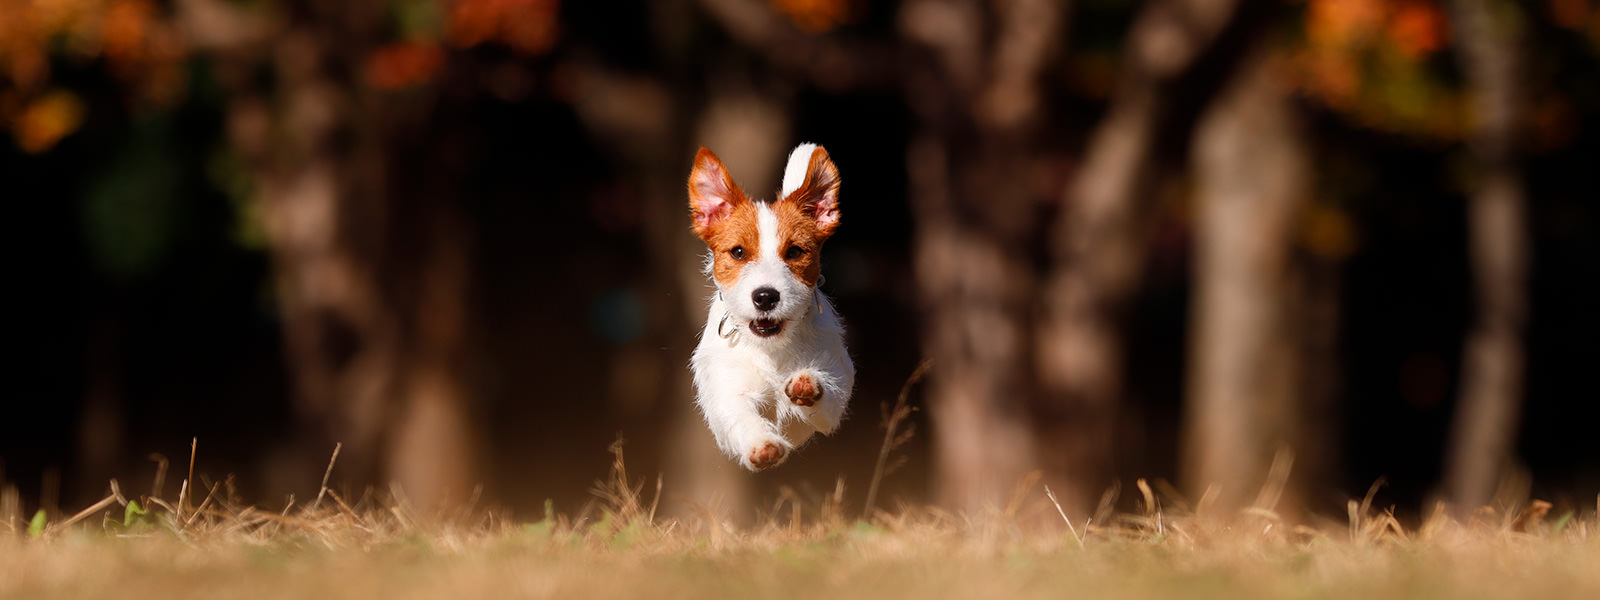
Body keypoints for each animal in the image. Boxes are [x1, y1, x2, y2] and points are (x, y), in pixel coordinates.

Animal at [688, 143, 864, 473]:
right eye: (738, 252)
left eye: (794, 252)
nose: (766, 297)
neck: (771, 348)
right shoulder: (727, 392)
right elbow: (741, 416)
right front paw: (762, 444)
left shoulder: (837, 377)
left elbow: (828, 393)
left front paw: (808, 385)